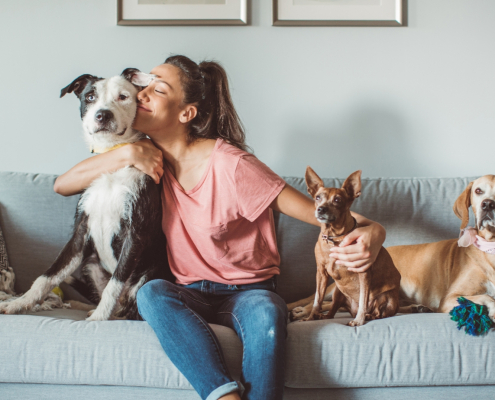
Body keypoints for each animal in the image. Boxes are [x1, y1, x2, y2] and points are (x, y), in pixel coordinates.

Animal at [0, 67, 172, 320]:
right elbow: (47, 276)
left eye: (123, 96)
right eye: (90, 96)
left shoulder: (136, 232)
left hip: (148, 274)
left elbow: (115, 283)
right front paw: (19, 303)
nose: (103, 115)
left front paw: (98, 319)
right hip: (90, 265)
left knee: (132, 309)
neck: (112, 158)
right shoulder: (80, 232)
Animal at [294, 167, 404, 326]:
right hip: (338, 292)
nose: (321, 209)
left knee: (378, 312)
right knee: (332, 311)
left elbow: (364, 299)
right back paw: (323, 316)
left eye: (337, 200)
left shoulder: (364, 272)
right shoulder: (321, 273)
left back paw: (368, 316)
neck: (334, 238)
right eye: (317, 197)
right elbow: (317, 300)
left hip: (387, 296)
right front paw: (311, 318)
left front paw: (359, 320)